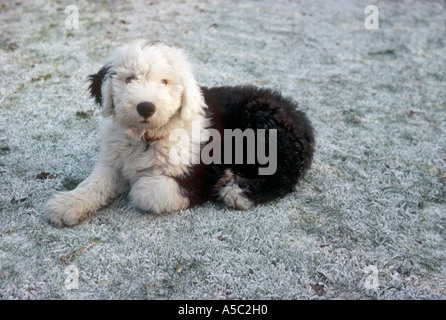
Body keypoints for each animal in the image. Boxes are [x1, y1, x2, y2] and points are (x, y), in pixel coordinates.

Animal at [43, 38, 312, 226]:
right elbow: (95, 182)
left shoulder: (198, 173)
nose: (146, 107)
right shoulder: (113, 161)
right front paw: (68, 204)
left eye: (164, 82)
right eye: (130, 79)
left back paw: (238, 191)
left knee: (283, 177)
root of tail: (299, 115)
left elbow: (145, 190)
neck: (147, 138)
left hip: (260, 128)